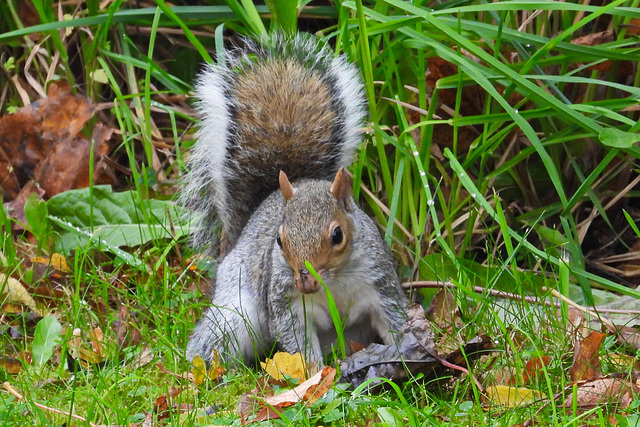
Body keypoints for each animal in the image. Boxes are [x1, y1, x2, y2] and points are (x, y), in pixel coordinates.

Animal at [182, 32, 408, 368]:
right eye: (279, 239)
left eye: (338, 236)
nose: (306, 283)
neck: (334, 281)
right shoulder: (286, 302)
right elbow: (297, 342)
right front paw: (315, 375)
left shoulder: (380, 285)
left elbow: (395, 319)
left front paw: (411, 350)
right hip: (234, 313)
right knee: (217, 339)